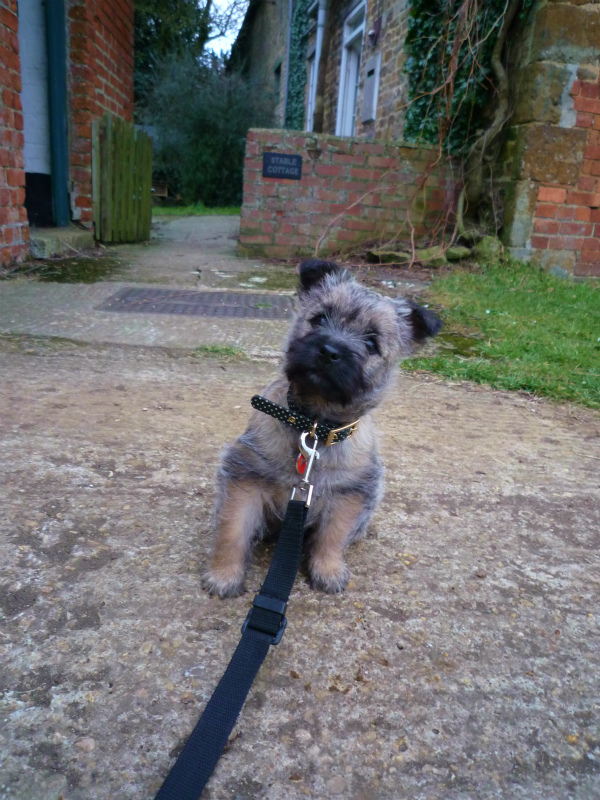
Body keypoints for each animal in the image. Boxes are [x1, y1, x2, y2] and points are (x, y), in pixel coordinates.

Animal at [203, 258, 441, 598]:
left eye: (371, 342)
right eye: (319, 319)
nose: (329, 351)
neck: (314, 425)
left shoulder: (348, 494)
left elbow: (332, 537)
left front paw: (328, 570)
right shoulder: (245, 480)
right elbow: (232, 531)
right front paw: (224, 575)